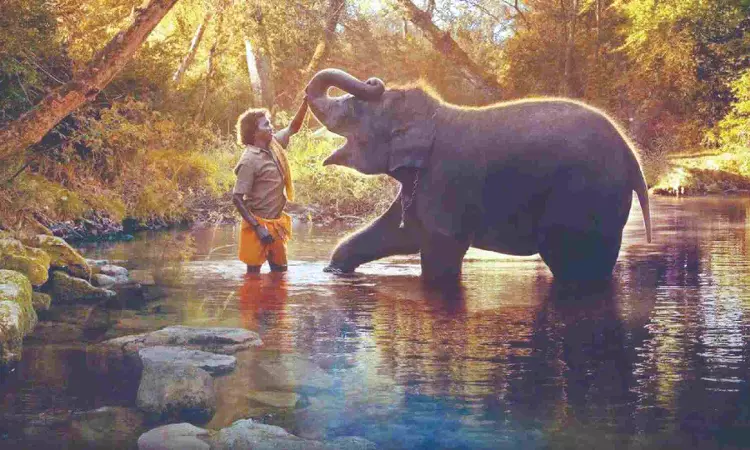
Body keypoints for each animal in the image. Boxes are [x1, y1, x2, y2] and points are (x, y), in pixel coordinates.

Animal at [305, 68, 652, 282]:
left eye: (353, 110)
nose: (373, 79)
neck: (433, 116)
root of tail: (633, 158)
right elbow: (400, 233)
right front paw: (334, 270)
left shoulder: (446, 180)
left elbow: (441, 248)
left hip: (584, 195)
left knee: (571, 262)